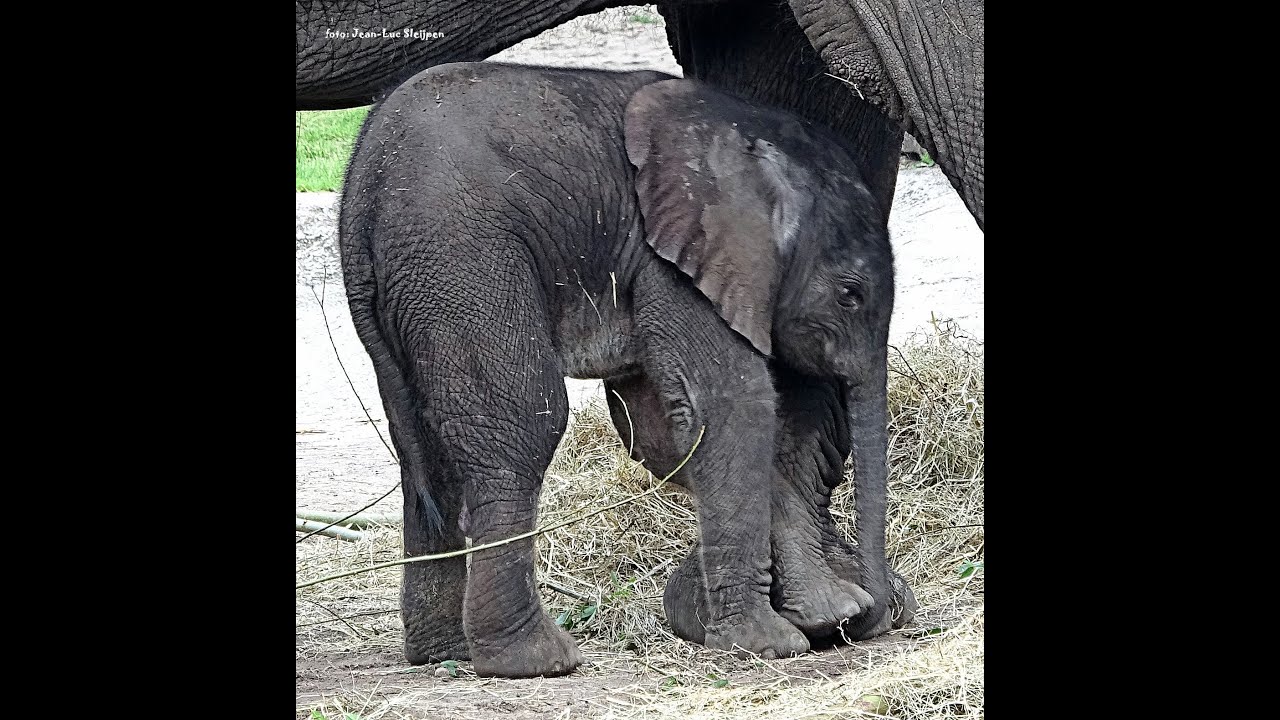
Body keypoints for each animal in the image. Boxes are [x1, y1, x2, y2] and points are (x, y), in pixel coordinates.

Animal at [339, 61, 915, 678]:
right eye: (851, 295)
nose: (877, 617)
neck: (750, 135)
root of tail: (360, 188)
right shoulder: (673, 262)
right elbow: (731, 403)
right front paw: (771, 644)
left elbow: (664, 432)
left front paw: (830, 614)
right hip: (462, 255)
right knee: (523, 421)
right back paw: (537, 660)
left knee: (425, 451)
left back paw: (443, 653)